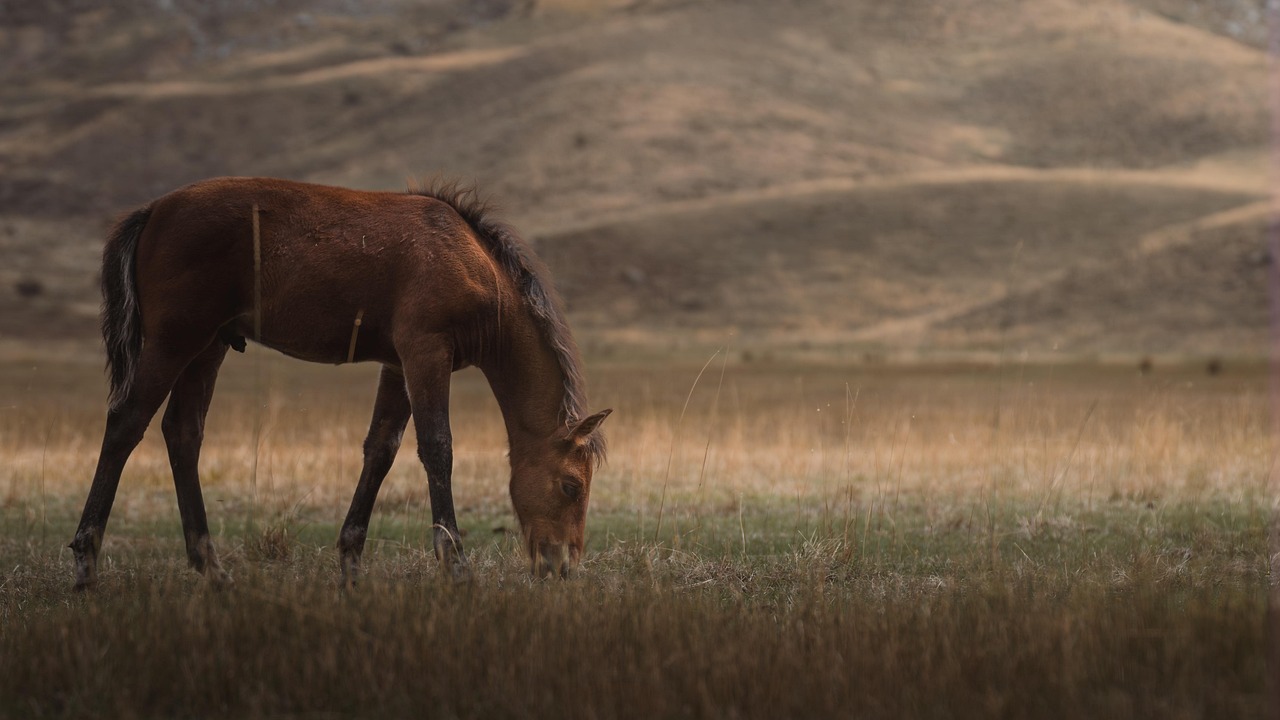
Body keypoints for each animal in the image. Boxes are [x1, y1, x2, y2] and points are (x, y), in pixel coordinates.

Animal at [68, 176, 609, 586]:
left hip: (208, 347)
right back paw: (87, 563)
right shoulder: (426, 352)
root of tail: (153, 210)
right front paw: (455, 565)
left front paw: (350, 561)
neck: (475, 266)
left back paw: (212, 568)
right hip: (175, 342)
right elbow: (437, 447)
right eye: (570, 486)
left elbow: (380, 451)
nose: (562, 566)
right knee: (126, 423)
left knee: (182, 433)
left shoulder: (398, 364)